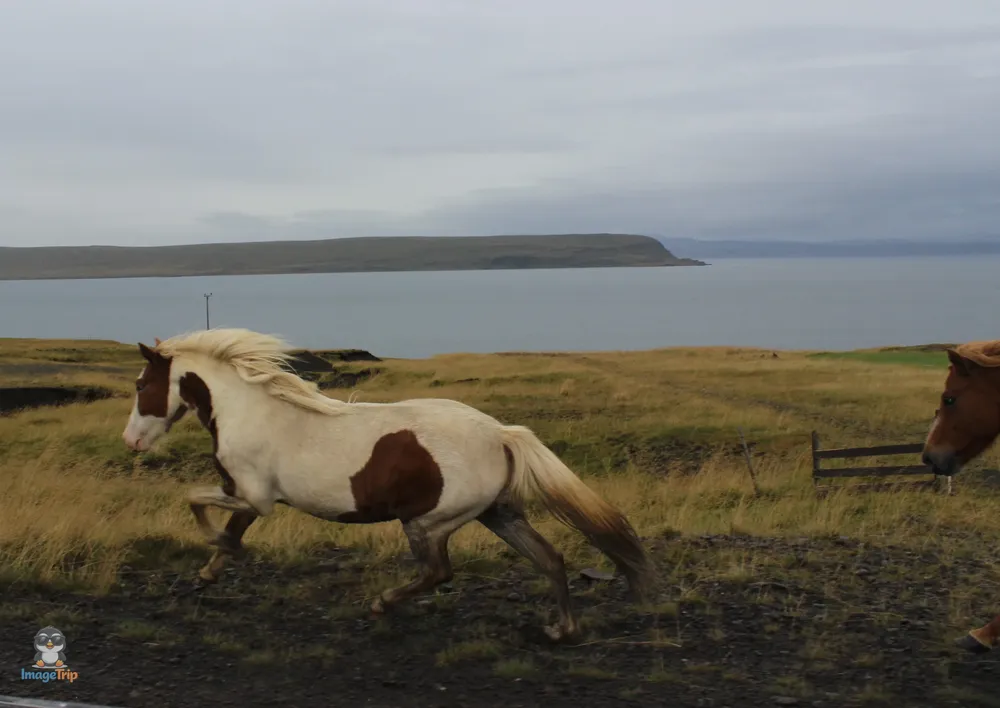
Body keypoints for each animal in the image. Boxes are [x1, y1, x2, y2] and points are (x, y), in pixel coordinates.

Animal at [120, 328, 655, 641]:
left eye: (142, 385)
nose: (131, 441)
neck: (251, 410)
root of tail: (501, 434)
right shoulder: (251, 496)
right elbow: (229, 529)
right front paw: (210, 571)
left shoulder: (252, 494)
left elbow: (195, 502)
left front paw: (214, 555)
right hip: (498, 514)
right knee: (550, 558)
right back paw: (563, 628)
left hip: (428, 522)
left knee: (439, 572)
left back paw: (381, 604)